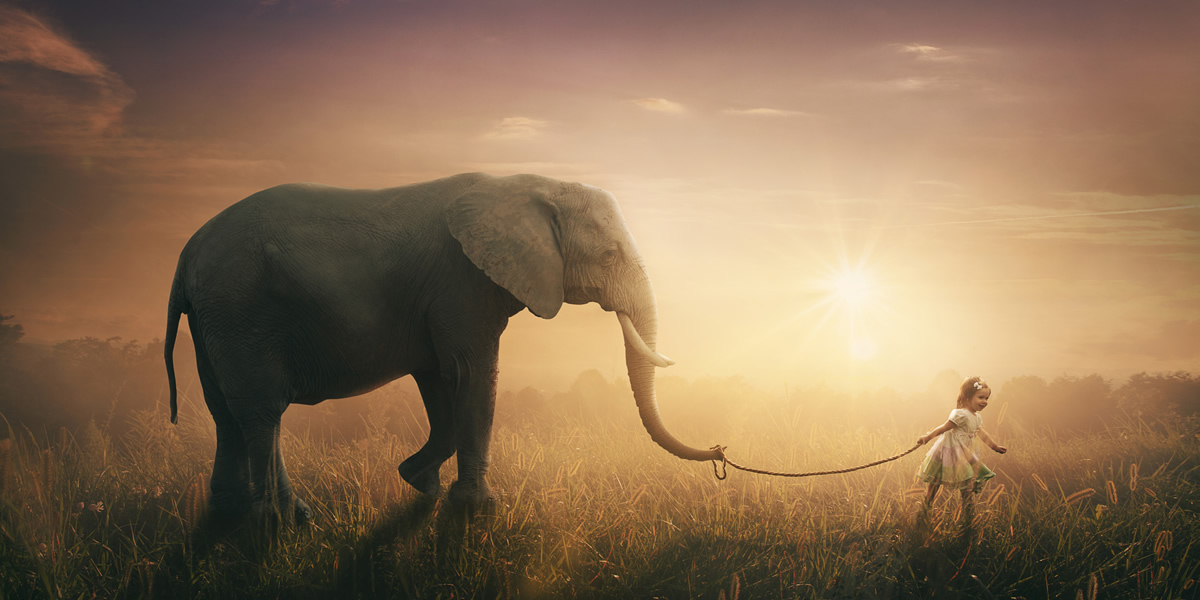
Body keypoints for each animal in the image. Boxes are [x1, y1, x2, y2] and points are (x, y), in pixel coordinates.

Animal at [163, 174, 715, 520]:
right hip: (241, 310)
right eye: (610, 255)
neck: (531, 182)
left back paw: (231, 514)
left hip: (215, 318)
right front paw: (478, 510)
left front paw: (419, 483)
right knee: (263, 410)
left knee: (227, 411)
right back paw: (282, 519)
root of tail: (186, 253)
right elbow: (471, 373)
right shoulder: (461, 282)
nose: (718, 451)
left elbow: (438, 379)